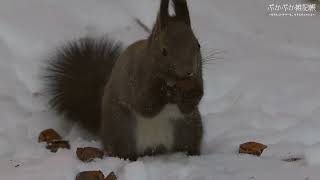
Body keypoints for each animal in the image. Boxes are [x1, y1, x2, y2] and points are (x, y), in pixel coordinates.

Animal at [44, 0, 204, 160]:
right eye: (164, 51)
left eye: (198, 45)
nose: (188, 72)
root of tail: (154, 148)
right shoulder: (134, 78)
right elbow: (144, 105)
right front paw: (165, 91)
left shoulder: (198, 76)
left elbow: (191, 104)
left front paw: (188, 94)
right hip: (121, 129)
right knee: (122, 149)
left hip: (189, 128)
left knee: (188, 143)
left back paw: (191, 153)